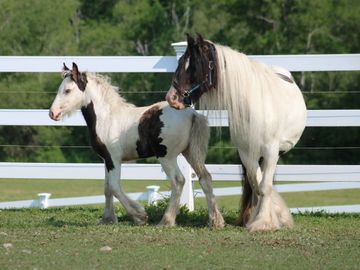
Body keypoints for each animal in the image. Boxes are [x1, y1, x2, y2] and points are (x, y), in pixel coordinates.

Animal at [49, 62, 224, 228]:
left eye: (68, 90)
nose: (52, 113)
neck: (107, 118)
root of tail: (192, 114)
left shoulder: (114, 159)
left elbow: (114, 187)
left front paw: (139, 216)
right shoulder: (106, 160)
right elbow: (107, 188)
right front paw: (108, 219)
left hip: (167, 156)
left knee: (178, 181)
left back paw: (166, 221)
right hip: (190, 152)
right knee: (205, 178)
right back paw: (215, 221)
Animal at [166, 34, 306, 232]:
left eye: (194, 66)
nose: (172, 98)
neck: (254, 107)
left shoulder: (271, 152)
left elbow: (264, 186)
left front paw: (264, 222)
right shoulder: (246, 153)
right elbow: (256, 184)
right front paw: (260, 218)